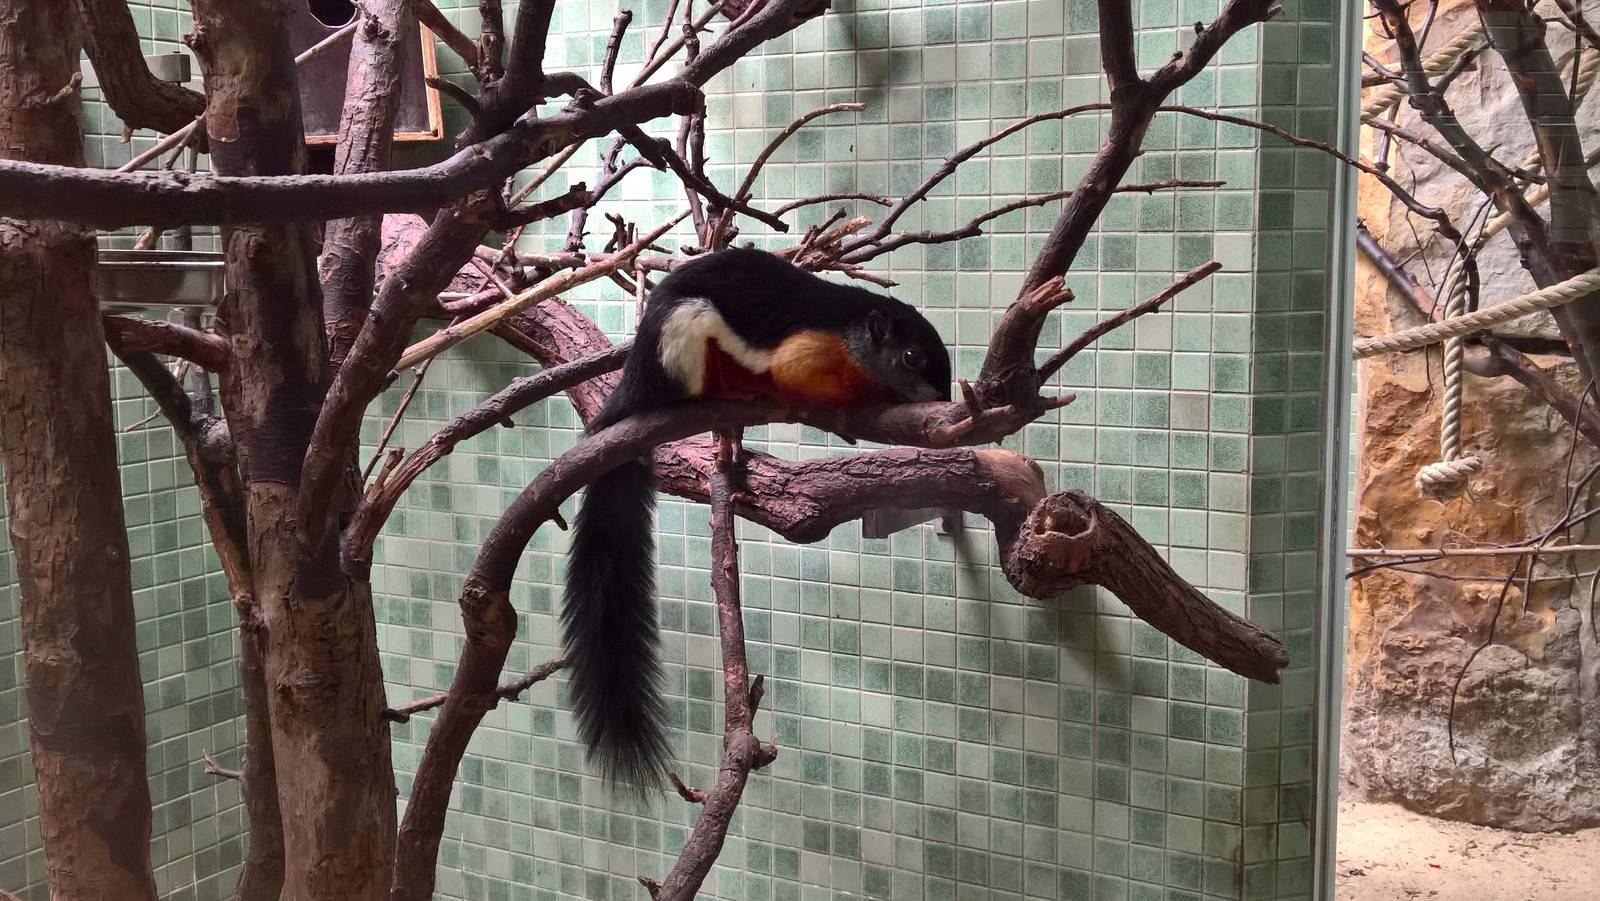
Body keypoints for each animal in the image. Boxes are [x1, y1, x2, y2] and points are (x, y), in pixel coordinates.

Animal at [563, 246, 952, 791]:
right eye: (911, 356)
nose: (942, 397)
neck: (849, 332)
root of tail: (634, 384)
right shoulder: (806, 353)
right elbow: (802, 381)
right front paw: (861, 402)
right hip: (682, 339)